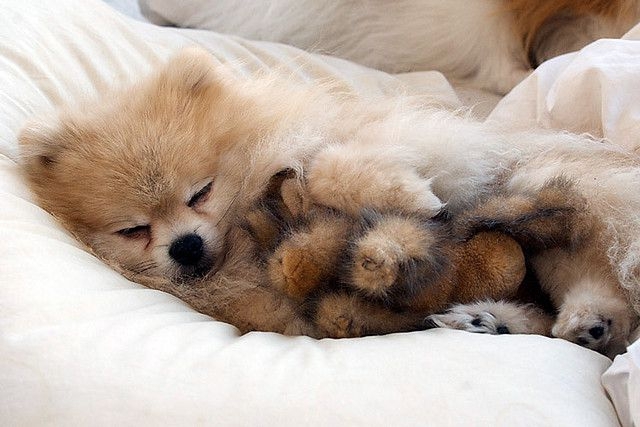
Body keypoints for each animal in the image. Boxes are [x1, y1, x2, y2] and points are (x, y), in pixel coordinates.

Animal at [18, 46, 640, 356]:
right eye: (133, 230)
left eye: (201, 192)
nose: (187, 247)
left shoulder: (405, 141)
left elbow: (325, 168)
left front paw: (414, 196)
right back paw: (516, 322)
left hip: (559, 201)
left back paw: (581, 316)